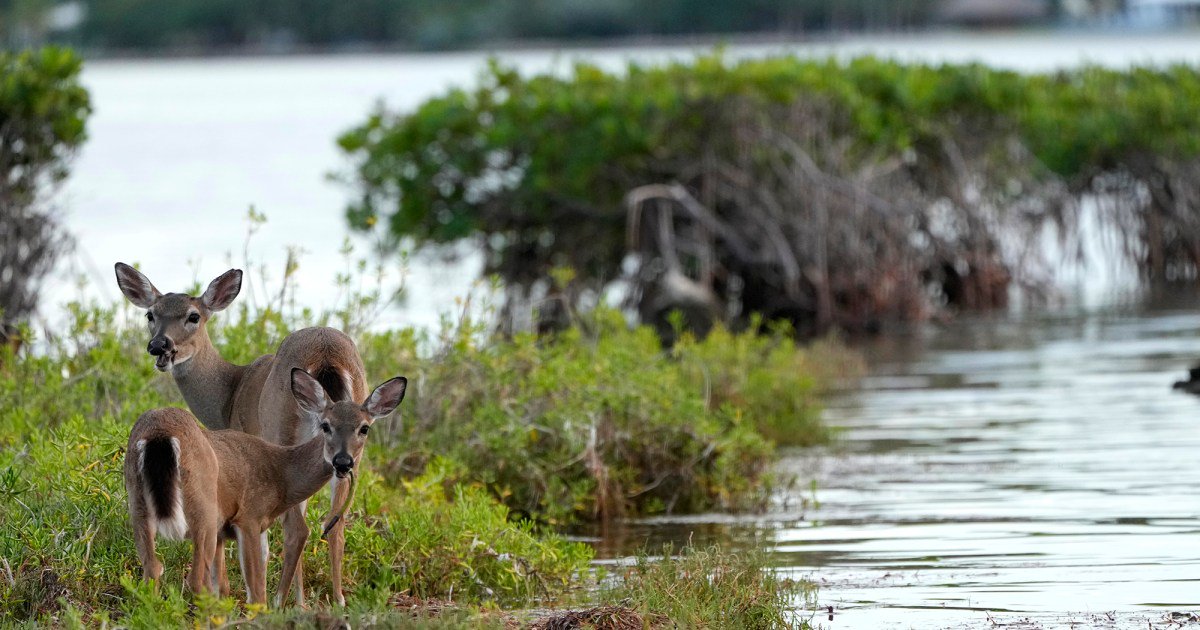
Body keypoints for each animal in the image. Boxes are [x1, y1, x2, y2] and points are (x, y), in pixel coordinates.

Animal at [114, 262, 367, 606]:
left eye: (194, 316)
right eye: (150, 314)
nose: (159, 346)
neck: (230, 394)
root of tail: (327, 355)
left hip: (283, 430)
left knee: (297, 528)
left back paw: (286, 602)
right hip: (352, 448)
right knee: (335, 522)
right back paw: (336, 600)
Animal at [124, 369, 407, 605]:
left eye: (364, 428)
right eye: (325, 425)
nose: (343, 462)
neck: (280, 474)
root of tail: (159, 435)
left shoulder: (226, 531)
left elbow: (224, 587)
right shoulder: (248, 517)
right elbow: (256, 591)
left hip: (137, 503)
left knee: (153, 569)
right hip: (202, 508)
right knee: (196, 579)